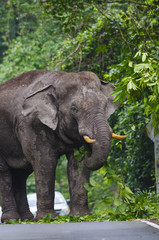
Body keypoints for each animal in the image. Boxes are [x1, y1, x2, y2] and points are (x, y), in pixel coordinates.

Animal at [0, 70, 125, 222]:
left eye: (105, 105)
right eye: (74, 108)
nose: (89, 150)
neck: (56, 80)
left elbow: (77, 163)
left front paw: (81, 216)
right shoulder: (32, 124)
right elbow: (45, 162)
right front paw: (47, 218)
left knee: (21, 175)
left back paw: (26, 219)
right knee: (5, 173)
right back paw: (11, 220)